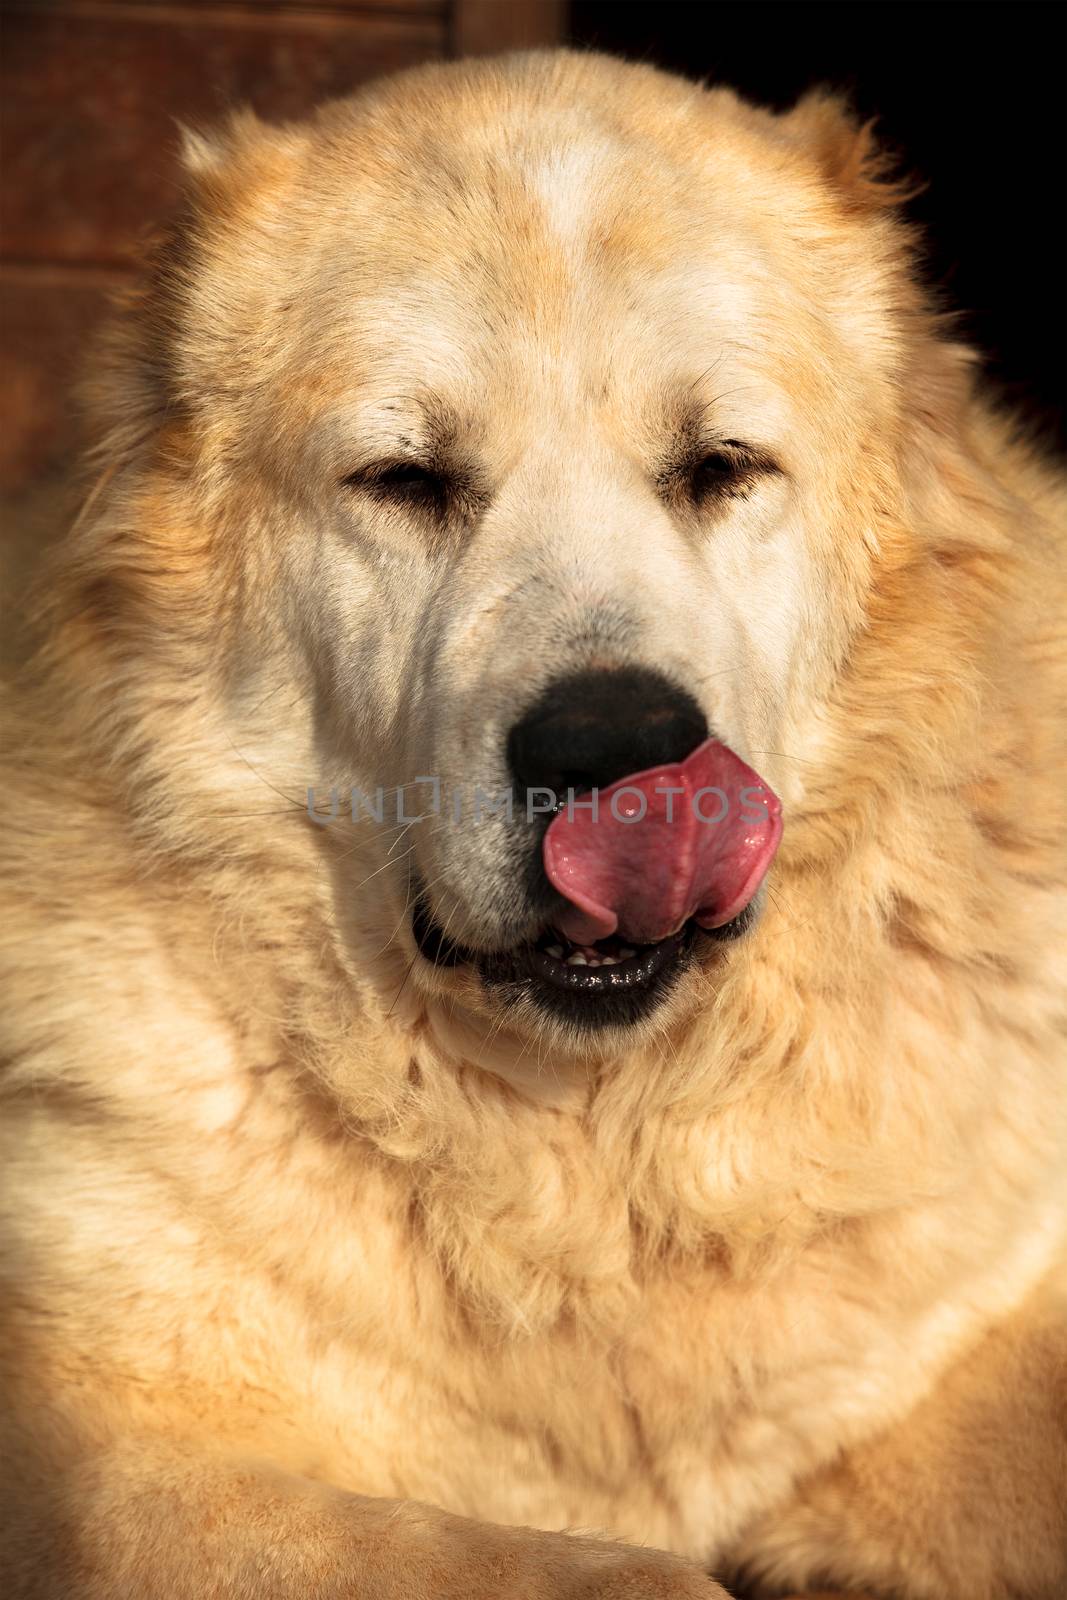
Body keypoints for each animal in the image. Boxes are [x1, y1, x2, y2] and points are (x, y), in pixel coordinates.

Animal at [2, 43, 1067, 1593]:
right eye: (405, 480)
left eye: (719, 466)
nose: (615, 754)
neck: (587, 1153)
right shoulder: (89, 1442)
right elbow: (567, 1566)